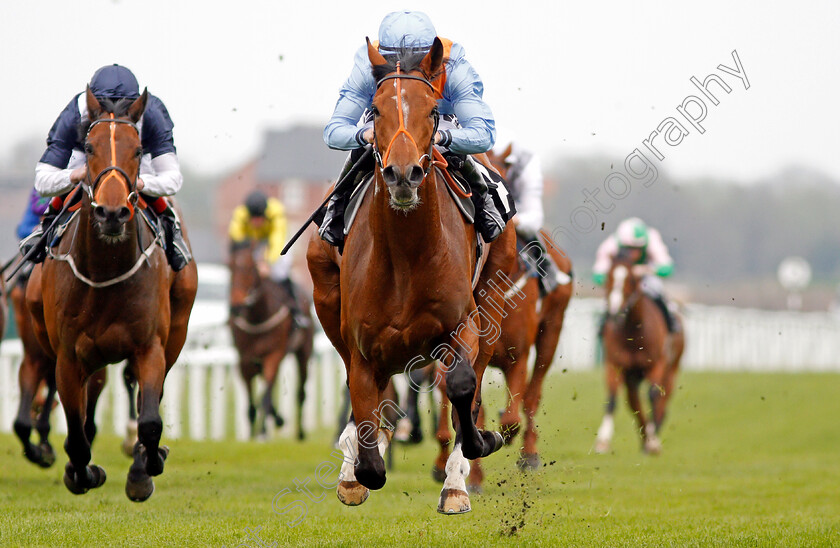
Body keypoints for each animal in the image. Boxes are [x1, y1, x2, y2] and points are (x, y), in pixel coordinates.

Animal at [26, 89, 199, 500]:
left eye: (138, 149)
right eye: (89, 147)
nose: (112, 213)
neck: (106, 272)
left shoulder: (150, 347)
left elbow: (150, 420)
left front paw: (145, 467)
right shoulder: (68, 357)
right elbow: (75, 434)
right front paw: (81, 473)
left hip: (176, 330)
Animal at [228, 242, 314, 438]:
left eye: (251, 268)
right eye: (229, 267)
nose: (236, 307)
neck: (257, 317)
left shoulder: (273, 355)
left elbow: (265, 397)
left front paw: (262, 433)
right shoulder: (245, 360)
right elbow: (252, 404)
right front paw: (252, 434)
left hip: (303, 352)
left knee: (300, 392)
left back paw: (300, 432)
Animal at [308, 37, 520, 512]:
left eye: (432, 111)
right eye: (376, 110)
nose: (403, 174)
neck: (406, 256)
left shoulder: (463, 325)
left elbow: (462, 386)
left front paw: (480, 446)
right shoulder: (361, 346)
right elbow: (370, 453)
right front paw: (356, 466)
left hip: (494, 297)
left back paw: (457, 479)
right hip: (326, 294)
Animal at [592, 253, 684, 454]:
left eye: (632, 280)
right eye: (608, 278)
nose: (615, 312)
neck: (634, 333)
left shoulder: (656, 364)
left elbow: (652, 395)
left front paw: (653, 441)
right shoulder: (614, 364)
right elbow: (612, 398)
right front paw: (603, 441)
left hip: (672, 369)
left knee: (662, 401)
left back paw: (652, 436)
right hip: (632, 376)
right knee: (634, 401)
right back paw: (644, 437)